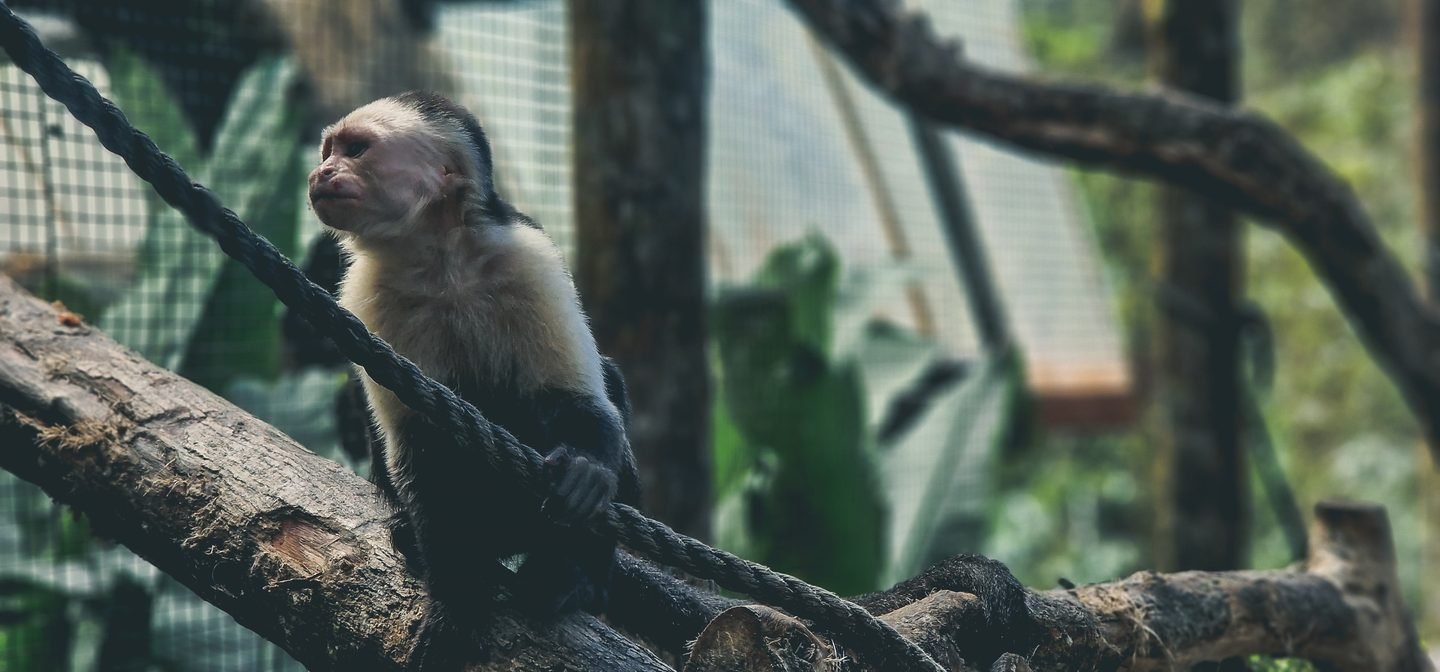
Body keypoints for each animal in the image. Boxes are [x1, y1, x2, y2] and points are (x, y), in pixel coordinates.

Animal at [306, 90, 639, 669]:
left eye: (356, 150)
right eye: (329, 151)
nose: (321, 171)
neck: (440, 261)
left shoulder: (527, 256)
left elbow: (577, 398)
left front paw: (587, 470)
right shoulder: (366, 294)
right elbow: (422, 448)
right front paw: (455, 603)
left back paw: (575, 575)